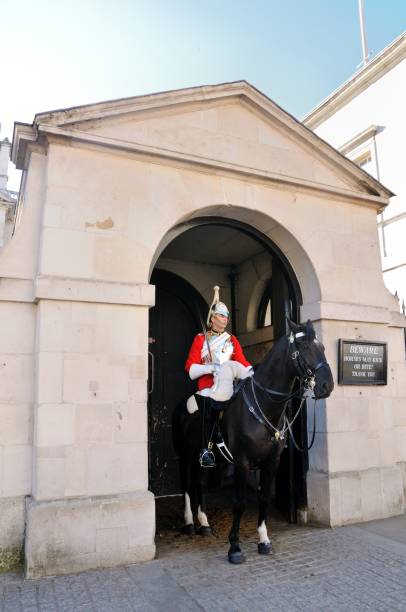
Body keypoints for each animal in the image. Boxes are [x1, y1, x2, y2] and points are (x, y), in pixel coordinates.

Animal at [171, 320, 334, 564]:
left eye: (322, 347)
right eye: (303, 345)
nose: (327, 385)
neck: (266, 405)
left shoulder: (272, 463)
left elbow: (264, 498)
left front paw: (264, 540)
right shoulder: (242, 463)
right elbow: (239, 503)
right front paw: (234, 547)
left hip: (208, 461)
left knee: (200, 484)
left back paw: (205, 523)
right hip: (185, 456)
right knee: (187, 485)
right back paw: (190, 522)